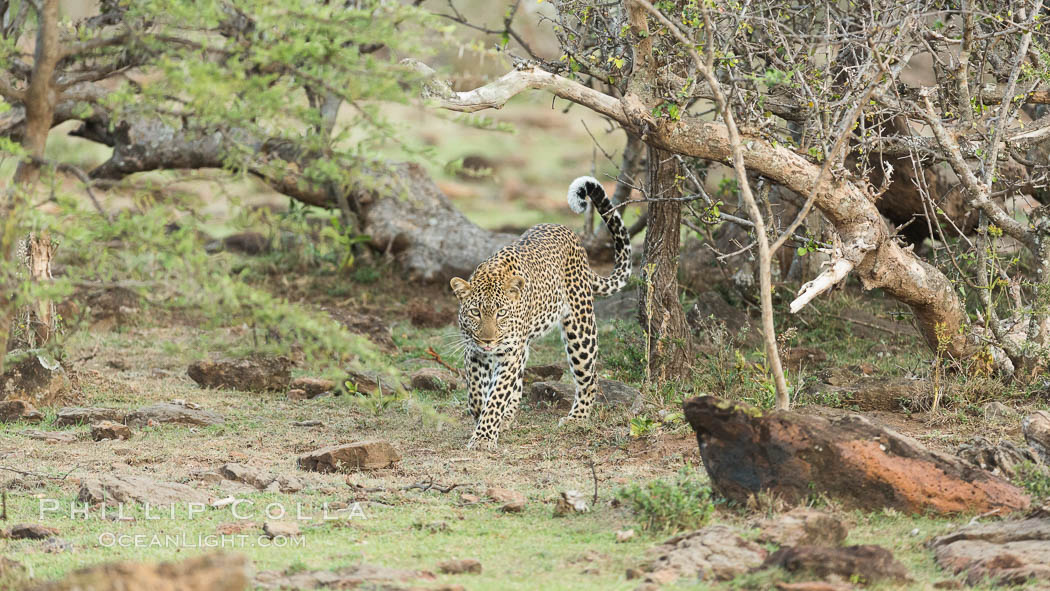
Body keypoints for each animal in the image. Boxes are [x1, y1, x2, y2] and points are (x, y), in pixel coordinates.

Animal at [445, 175, 625, 449]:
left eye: (501, 313)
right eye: (475, 312)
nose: (488, 341)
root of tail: (568, 233)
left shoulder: (509, 354)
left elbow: (496, 396)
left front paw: (484, 436)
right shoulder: (474, 351)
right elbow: (476, 391)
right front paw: (481, 415)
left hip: (580, 329)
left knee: (589, 377)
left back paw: (577, 418)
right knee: (519, 383)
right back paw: (509, 416)